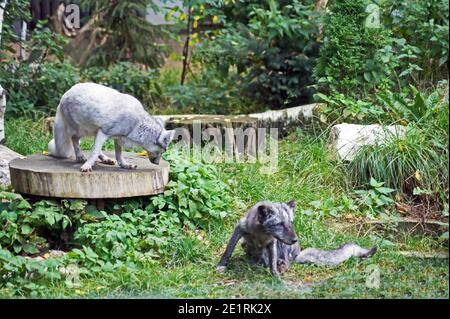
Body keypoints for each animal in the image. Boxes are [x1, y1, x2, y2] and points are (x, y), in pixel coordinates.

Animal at [217, 201, 376, 276]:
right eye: (280, 224)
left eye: (291, 223)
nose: (294, 240)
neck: (261, 234)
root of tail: (298, 253)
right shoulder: (240, 229)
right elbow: (228, 251)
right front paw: (221, 265)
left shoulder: (272, 242)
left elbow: (272, 263)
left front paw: (275, 275)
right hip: (245, 245)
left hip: (282, 246)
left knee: (285, 262)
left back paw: (279, 266)